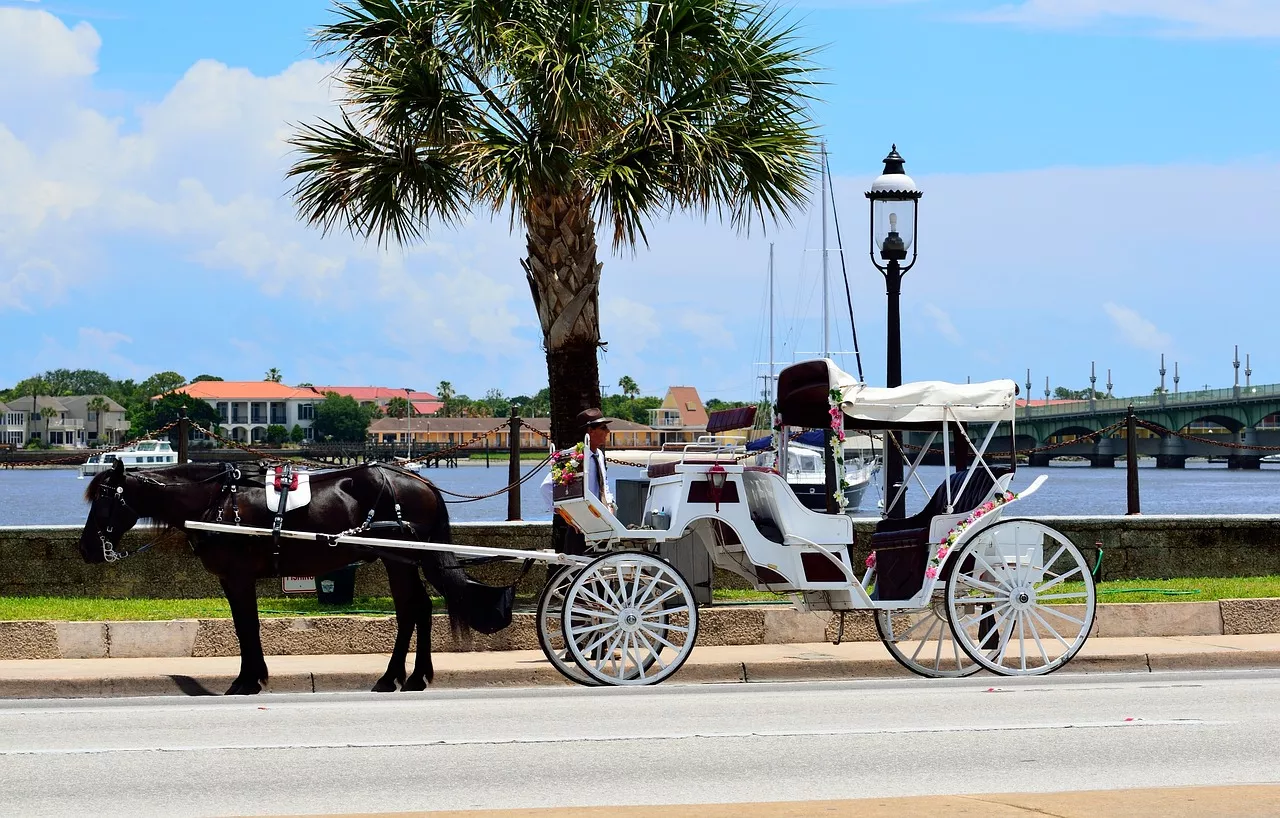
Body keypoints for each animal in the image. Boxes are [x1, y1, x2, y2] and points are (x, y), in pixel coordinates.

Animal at [77, 458, 509, 696]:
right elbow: (244, 626)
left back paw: (405, 677)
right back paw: (406, 677)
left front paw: (248, 680)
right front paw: (252, 677)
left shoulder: (238, 577)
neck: (218, 500)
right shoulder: (232, 579)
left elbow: (246, 626)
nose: (86, 548)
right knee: (414, 609)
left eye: (104, 499)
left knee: (413, 609)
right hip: (399, 559)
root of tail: (420, 481)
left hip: (401, 559)